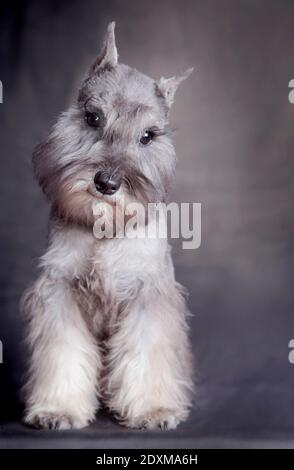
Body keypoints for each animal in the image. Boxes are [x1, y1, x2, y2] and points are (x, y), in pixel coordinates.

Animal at [21, 23, 194, 432]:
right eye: (93, 118)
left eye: (148, 135)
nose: (107, 182)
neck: (104, 230)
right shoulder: (60, 290)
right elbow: (63, 351)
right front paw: (58, 409)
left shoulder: (148, 293)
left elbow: (148, 353)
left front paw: (154, 409)